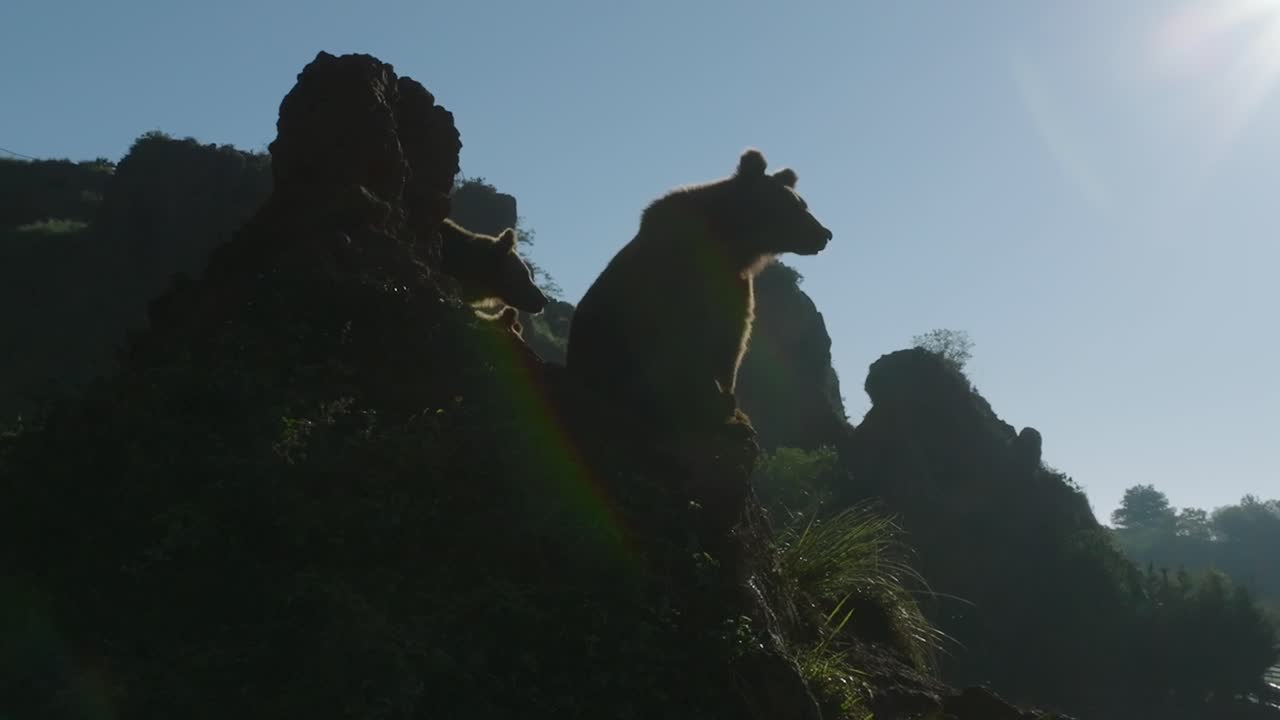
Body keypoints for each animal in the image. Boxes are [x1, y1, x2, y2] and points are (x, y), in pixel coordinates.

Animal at [566, 148, 832, 427]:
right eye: (793, 206)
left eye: (804, 204)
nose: (825, 234)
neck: (733, 243)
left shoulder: (734, 283)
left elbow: (733, 338)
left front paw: (727, 397)